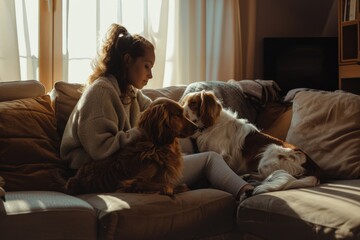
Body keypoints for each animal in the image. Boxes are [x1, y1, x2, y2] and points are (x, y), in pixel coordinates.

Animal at [181, 90, 322, 195]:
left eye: (193, 103)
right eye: (183, 103)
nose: (180, 111)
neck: (209, 126)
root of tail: (313, 165)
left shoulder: (222, 155)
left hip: (267, 157)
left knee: (268, 177)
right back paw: (246, 176)